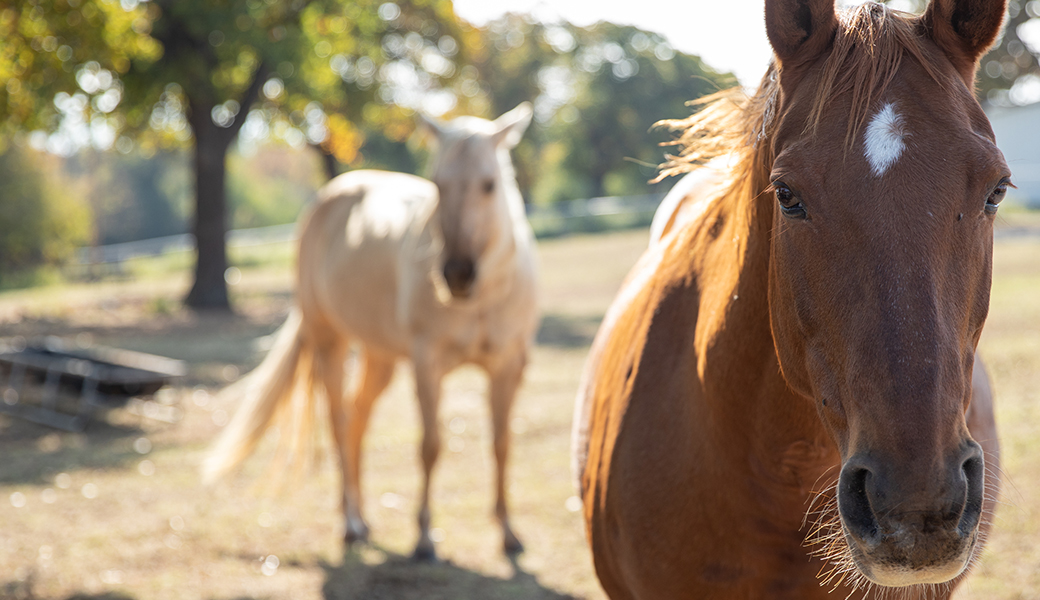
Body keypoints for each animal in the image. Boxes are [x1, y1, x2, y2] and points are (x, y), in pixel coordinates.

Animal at [204, 103, 538, 560]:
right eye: (438, 184)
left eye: (489, 185)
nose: (457, 275)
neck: (482, 299)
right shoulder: (427, 364)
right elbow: (430, 446)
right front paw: (424, 537)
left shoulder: (508, 365)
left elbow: (502, 444)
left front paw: (508, 533)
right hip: (330, 341)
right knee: (339, 420)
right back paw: (350, 523)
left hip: (379, 356)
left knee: (356, 419)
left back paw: (363, 520)